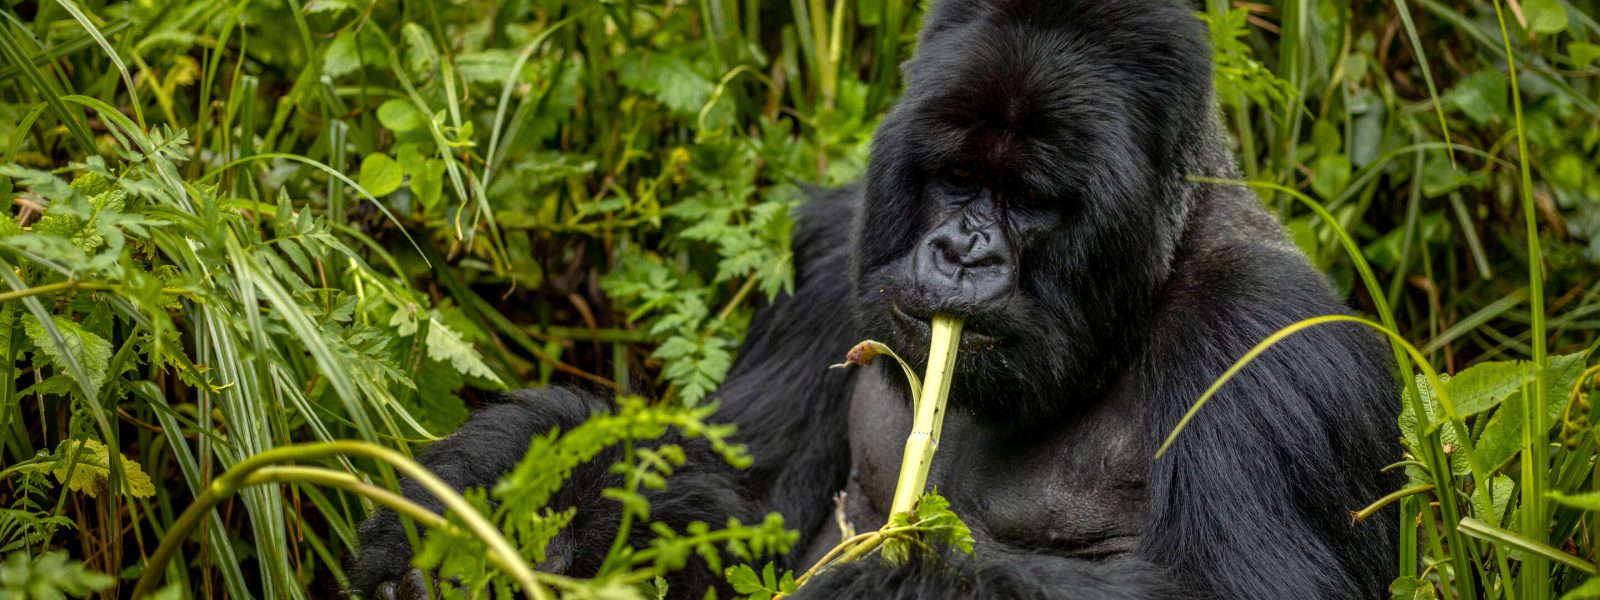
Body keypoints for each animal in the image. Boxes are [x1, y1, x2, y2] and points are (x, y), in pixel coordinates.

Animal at [350, 1, 1401, 598]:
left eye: (1029, 200)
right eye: (955, 178)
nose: (963, 252)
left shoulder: (1271, 340)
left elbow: (1243, 588)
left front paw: (885, 583)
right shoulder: (835, 248)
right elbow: (738, 498)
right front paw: (504, 483)